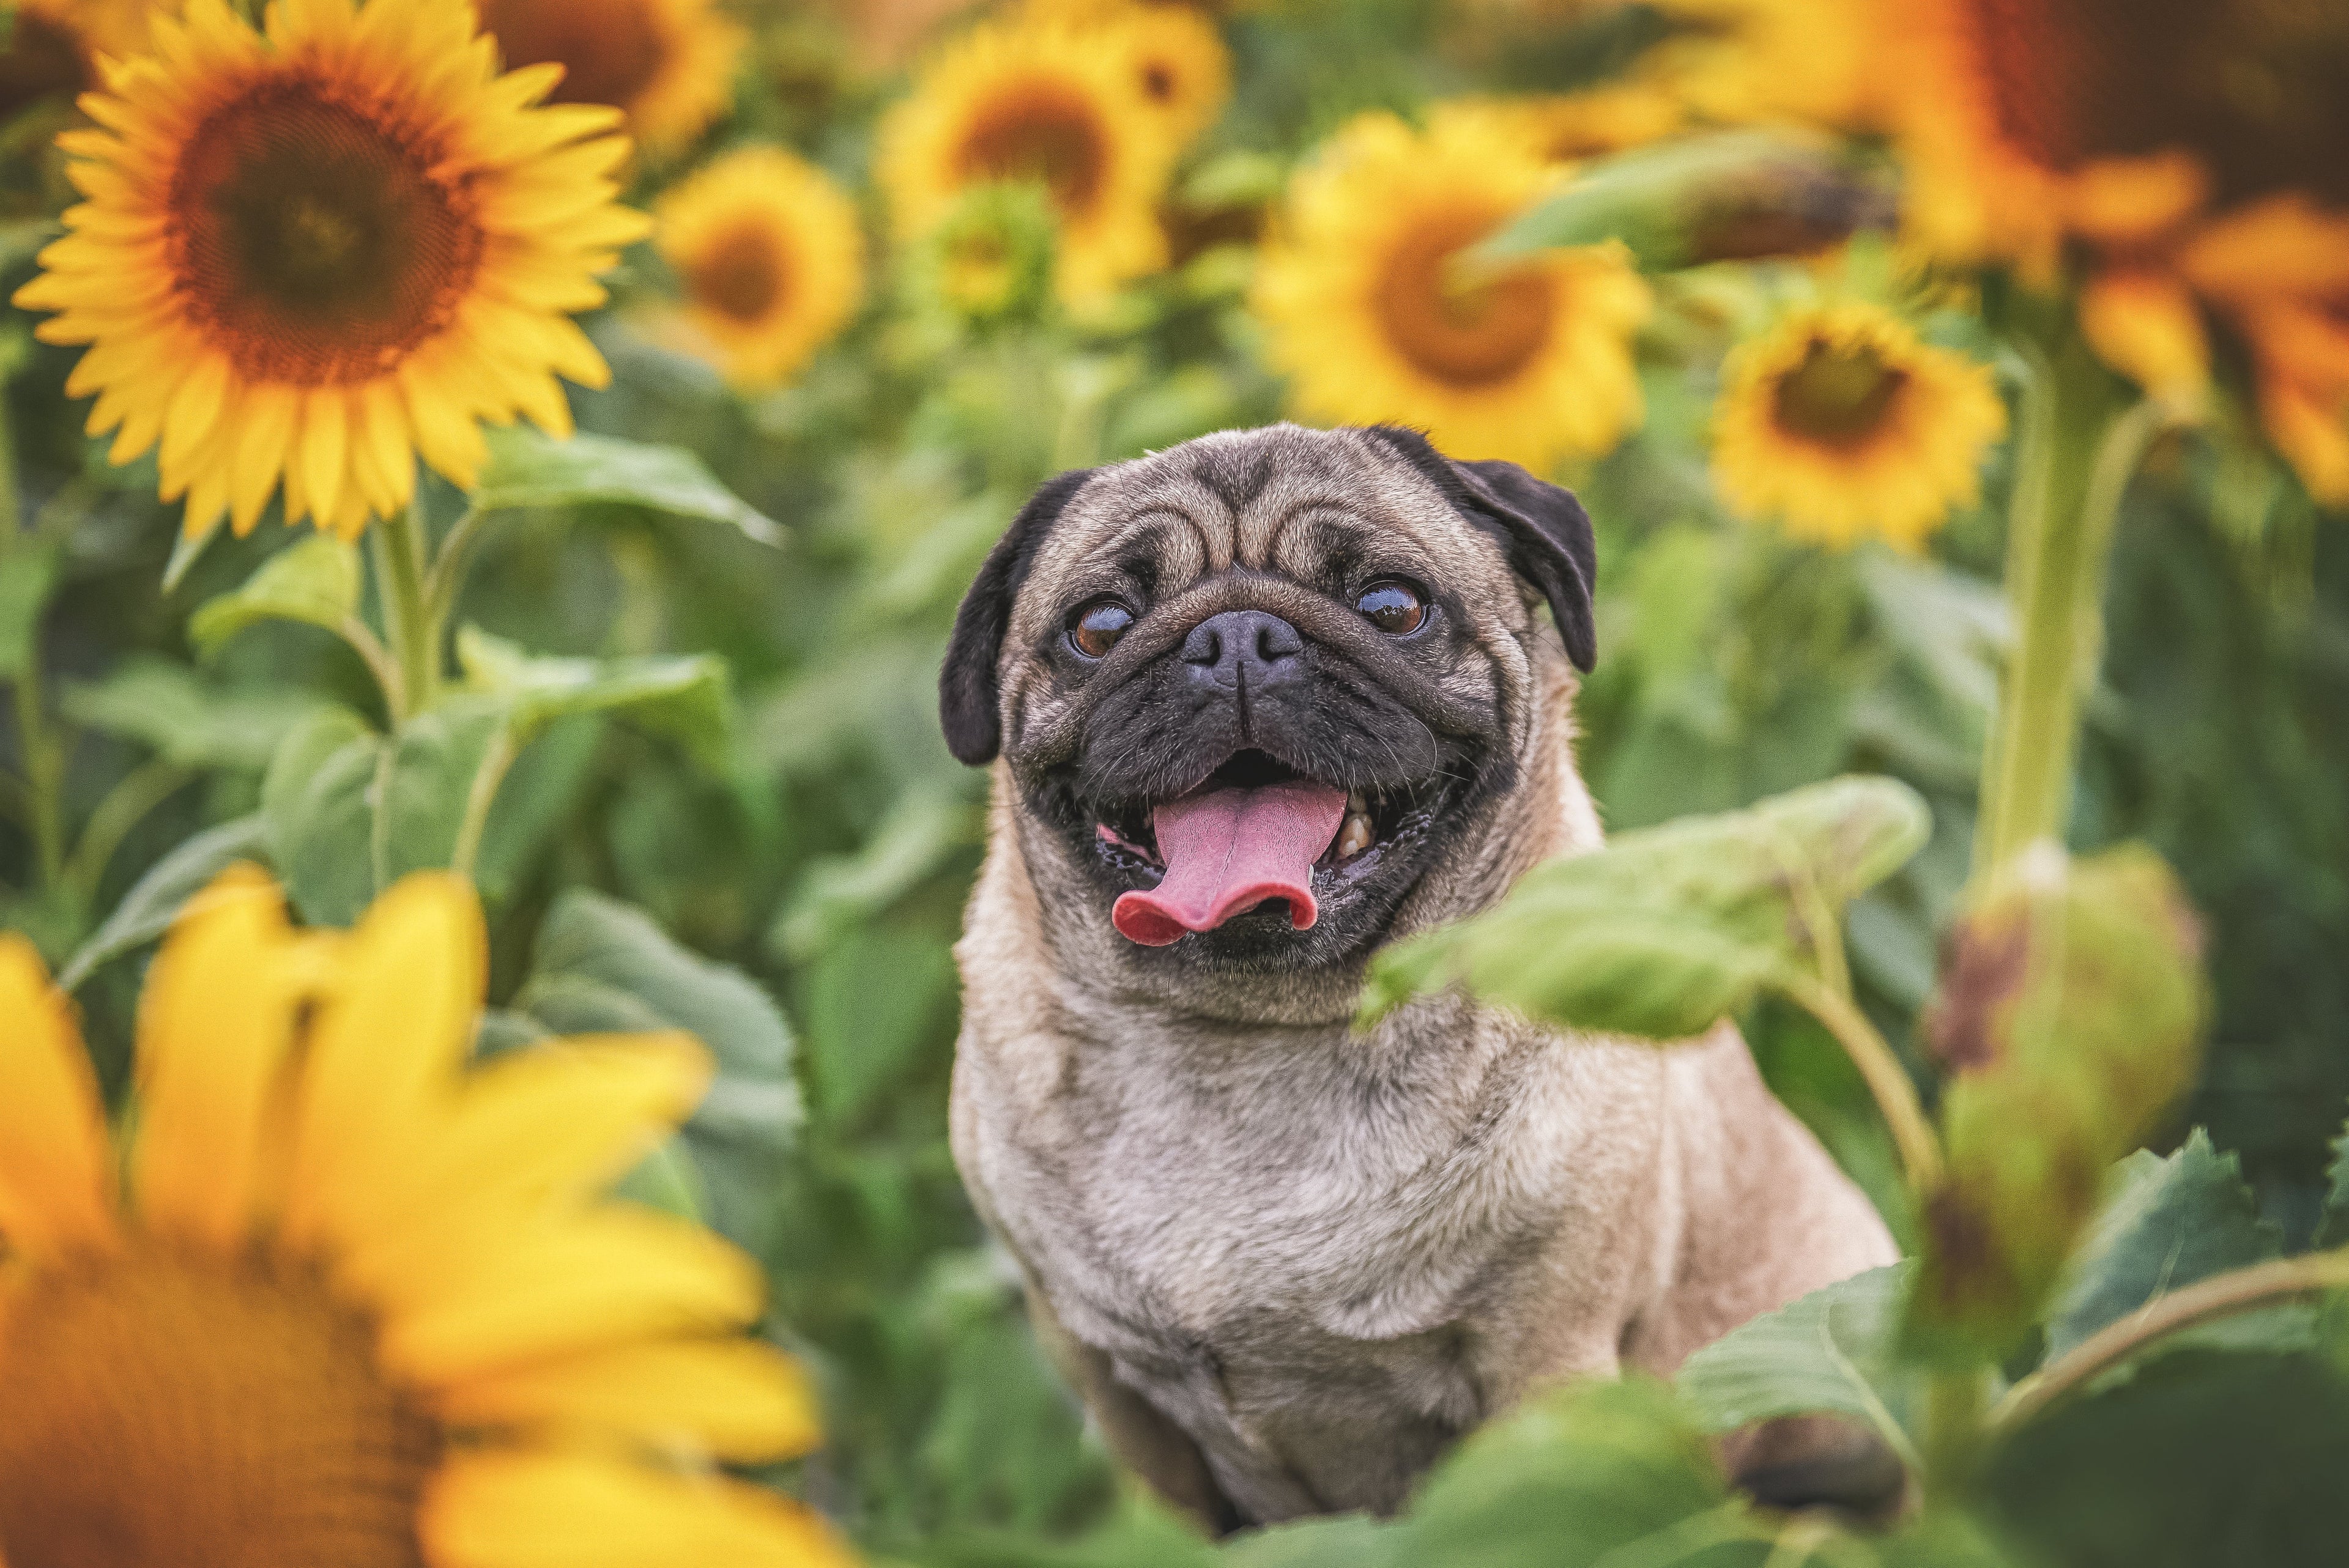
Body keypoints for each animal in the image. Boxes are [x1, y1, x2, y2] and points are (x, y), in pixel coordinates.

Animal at [930, 422, 1888, 1521]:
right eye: (1100, 626)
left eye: (1392, 606)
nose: (1235, 639)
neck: (1247, 1043)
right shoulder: (1119, 1398)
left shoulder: (1545, 1362)